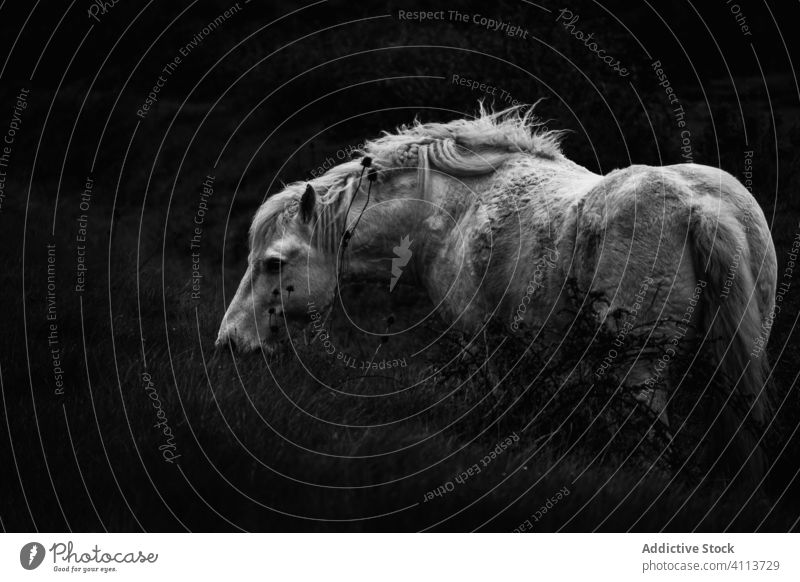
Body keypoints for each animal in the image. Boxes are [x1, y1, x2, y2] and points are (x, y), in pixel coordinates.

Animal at [217, 107, 776, 482]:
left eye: (273, 263)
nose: (230, 342)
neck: (451, 210)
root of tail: (700, 209)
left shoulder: (479, 338)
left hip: (637, 367)